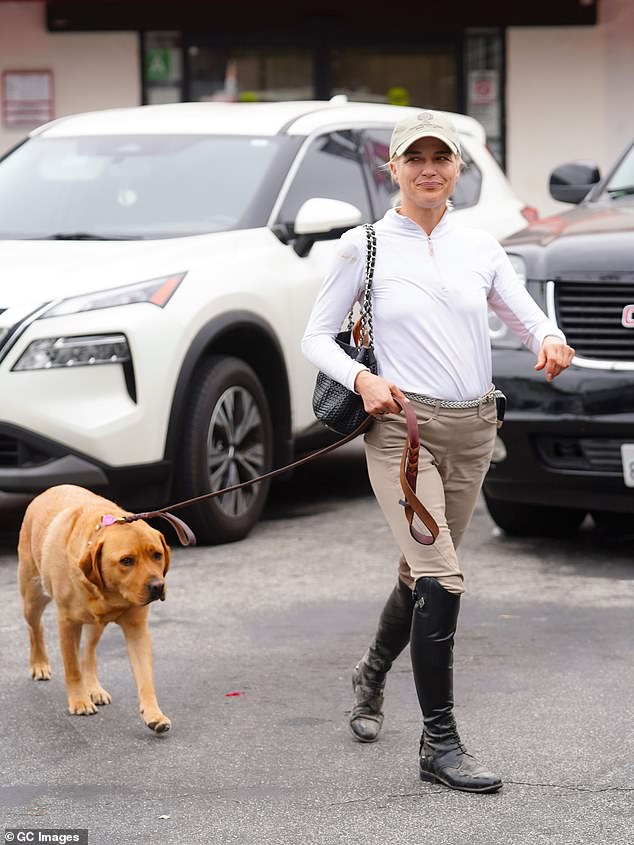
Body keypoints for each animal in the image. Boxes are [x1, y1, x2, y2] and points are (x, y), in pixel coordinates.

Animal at [17, 484, 170, 736]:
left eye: (157, 555)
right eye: (127, 561)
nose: (158, 586)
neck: (109, 594)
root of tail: (51, 488)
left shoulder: (137, 630)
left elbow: (145, 679)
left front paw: (154, 714)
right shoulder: (67, 623)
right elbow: (72, 668)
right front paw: (79, 701)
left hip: (95, 624)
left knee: (88, 655)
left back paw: (94, 688)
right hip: (32, 598)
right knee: (35, 628)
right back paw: (39, 664)